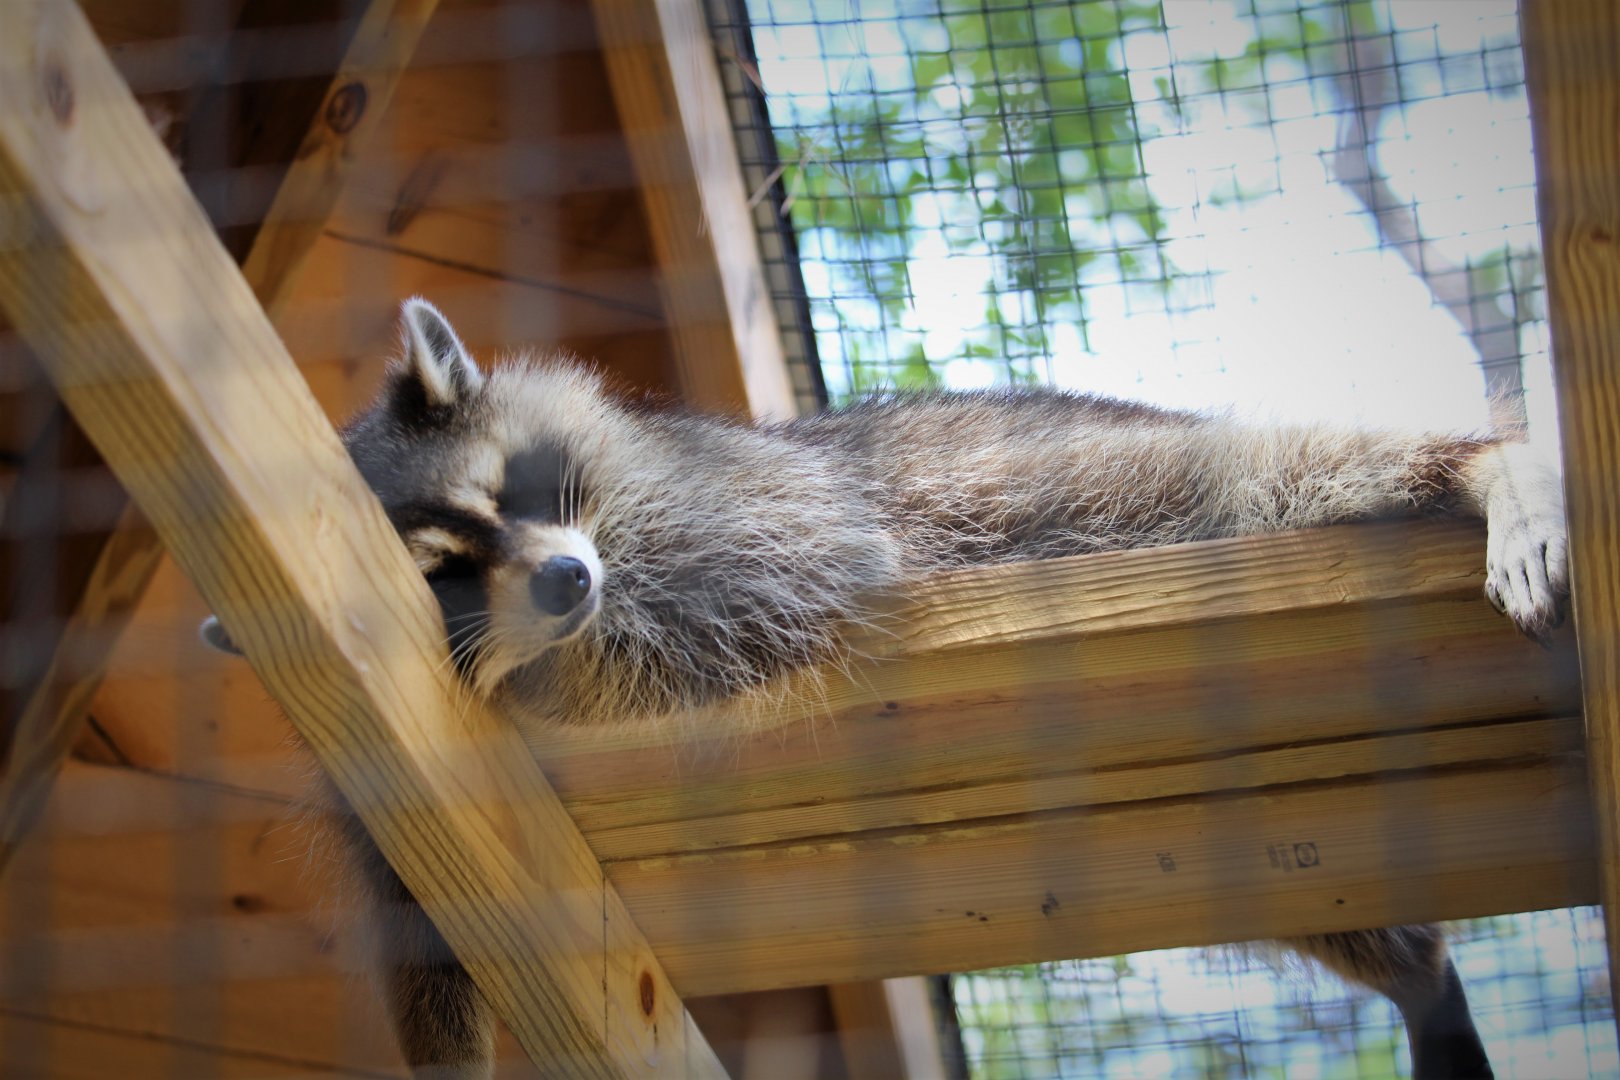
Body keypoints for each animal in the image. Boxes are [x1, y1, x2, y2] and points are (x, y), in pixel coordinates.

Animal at [208, 298, 1567, 1078]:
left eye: (509, 493)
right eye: (442, 575)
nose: (560, 585)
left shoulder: (726, 521)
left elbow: (716, 610)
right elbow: (425, 951)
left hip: (1093, 476)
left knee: (1263, 472)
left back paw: (1485, 465)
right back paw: (1423, 978)